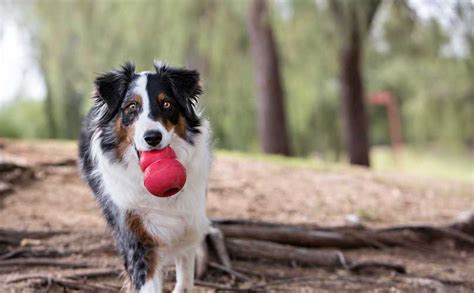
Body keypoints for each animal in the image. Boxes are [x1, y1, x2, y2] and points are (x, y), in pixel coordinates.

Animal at [78, 60, 212, 290]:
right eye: (132, 107)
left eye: (166, 104)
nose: (152, 137)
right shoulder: (137, 237)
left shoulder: (189, 225)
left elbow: (185, 279)